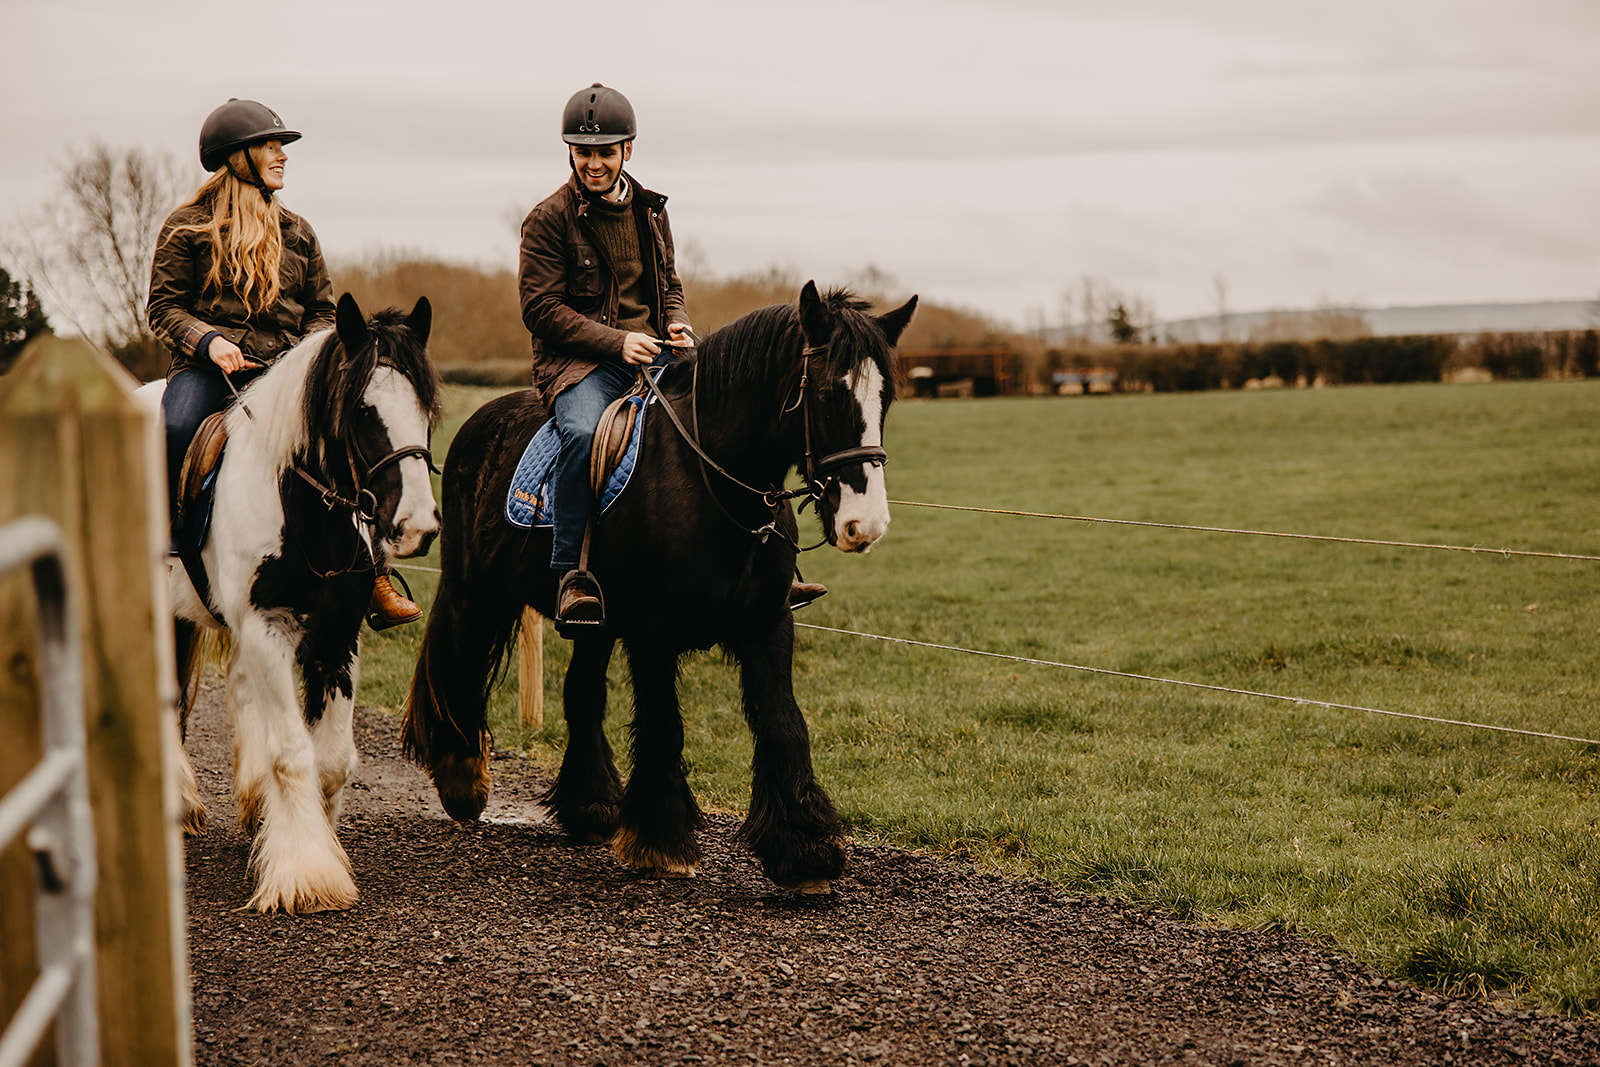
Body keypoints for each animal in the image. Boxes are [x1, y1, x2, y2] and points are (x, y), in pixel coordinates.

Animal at [140, 295, 441, 915]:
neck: (303, 513)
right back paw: (180, 803)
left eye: (425, 407)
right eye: (362, 411)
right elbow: (291, 752)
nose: (417, 526)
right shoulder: (267, 628)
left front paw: (302, 836)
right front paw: (307, 871)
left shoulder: (337, 637)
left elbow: (330, 761)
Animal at [406, 283, 921, 895]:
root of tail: (480, 424)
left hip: (591, 622)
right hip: (473, 589)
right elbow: (663, 726)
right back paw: (462, 780)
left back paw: (590, 806)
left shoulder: (768, 622)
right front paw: (661, 841)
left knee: (581, 693)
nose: (866, 524)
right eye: (825, 393)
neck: (713, 485)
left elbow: (783, 724)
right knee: (457, 660)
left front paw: (803, 852)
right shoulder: (652, 632)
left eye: (884, 398)